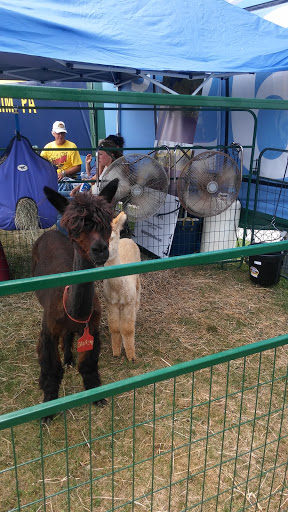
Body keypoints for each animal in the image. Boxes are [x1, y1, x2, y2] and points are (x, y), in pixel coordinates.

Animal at [103, 212, 141, 360]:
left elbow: (128, 329)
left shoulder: (128, 303)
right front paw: (116, 352)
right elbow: (114, 328)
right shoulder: (111, 303)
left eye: (112, 237)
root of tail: (127, 239)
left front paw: (131, 356)